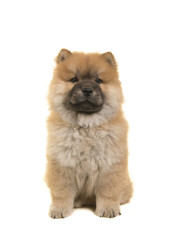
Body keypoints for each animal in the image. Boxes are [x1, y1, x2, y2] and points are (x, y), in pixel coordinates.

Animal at [45, 48, 132, 218]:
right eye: (74, 79)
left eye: (98, 81)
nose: (87, 90)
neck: (86, 127)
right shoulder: (62, 163)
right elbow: (62, 192)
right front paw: (59, 209)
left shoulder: (109, 165)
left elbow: (108, 191)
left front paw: (109, 208)